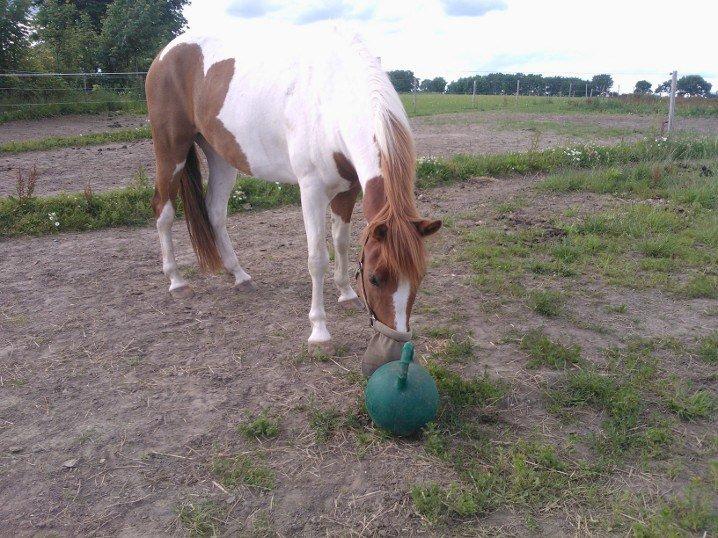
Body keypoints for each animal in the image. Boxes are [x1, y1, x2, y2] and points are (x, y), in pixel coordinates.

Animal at [146, 29, 442, 368]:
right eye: (375, 278)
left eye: (419, 277)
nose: (392, 353)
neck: (333, 99)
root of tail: (165, 54)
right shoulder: (311, 191)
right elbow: (317, 259)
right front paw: (320, 334)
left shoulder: (348, 189)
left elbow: (341, 242)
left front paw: (346, 294)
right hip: (171, 150)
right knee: (164, 211)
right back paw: (177, 281)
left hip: (220, 155)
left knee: (215, 212)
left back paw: (240, 276)